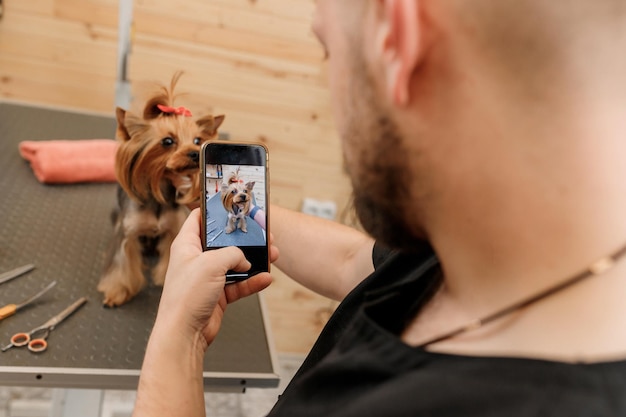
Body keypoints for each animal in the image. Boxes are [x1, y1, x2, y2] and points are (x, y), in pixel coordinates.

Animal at [97, 71, 224, 306]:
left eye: (197, 140)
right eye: (167, 141)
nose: (195, 153)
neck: (161, 192)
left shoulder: (173, 231)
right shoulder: (127, 235)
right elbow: (121, 264)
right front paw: (118, 291)